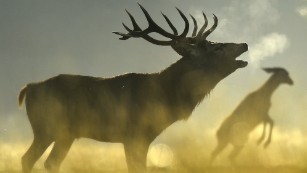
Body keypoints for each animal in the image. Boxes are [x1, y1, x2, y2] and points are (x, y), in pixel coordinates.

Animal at [18, 4, 249, 173]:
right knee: (27, 159)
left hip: (66, 133)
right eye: (216, 48)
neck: (164, 96)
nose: (244, 44)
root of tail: (28, 88)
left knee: (50, 162)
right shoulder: (134, 134)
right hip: (46, 127)